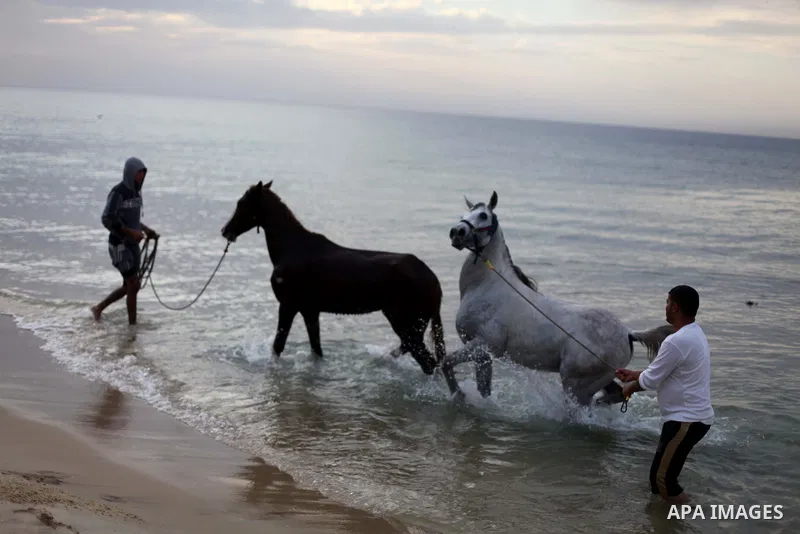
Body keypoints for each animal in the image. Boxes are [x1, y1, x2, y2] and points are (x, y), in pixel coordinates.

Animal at [220, 180, 446, 374]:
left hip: (403, 322)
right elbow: (316, 350)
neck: (291, 248)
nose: (225, 231)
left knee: (428, 363)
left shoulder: (287, 306)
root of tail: (434, 280)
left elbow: (278, 346)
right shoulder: (310, 311)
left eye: (241, 203)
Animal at [442, 190, 675, 406]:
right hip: (600, 380)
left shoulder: (484, 345)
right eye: (464, 215)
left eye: (483, 215)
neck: (487, 287)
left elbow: (445, 361)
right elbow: (483, 389)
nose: (456, 233)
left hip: (576, 385)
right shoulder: (482, 354)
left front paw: (458, 394)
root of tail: (627, 332)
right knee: (615, 395)